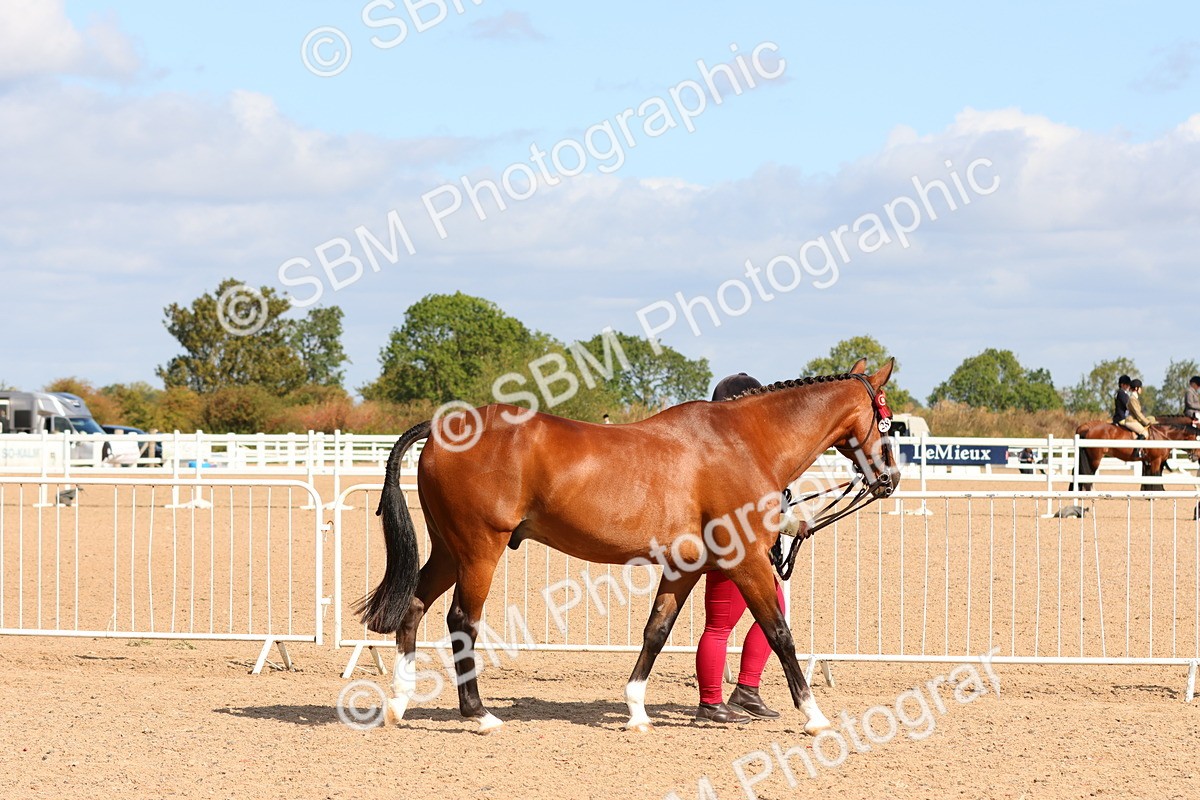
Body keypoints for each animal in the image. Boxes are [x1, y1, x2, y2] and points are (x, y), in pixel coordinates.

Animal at [355, 359, 899, 735]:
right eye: (888, 419)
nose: (889, 479)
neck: (744, 442)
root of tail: (441, 427)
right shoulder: (746, 562)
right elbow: (779, 632)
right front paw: (814, 715)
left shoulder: (685, 566)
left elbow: (656, 631)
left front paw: (636, 709)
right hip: (478, 550)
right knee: (461, 621)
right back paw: (479, 714)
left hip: (449, 550)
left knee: (414, 606)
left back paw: (399, 704)